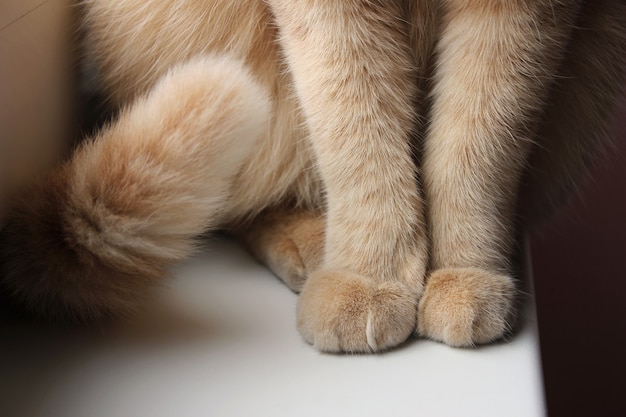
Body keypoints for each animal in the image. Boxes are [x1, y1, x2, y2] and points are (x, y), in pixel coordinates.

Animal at [1, 0, 624, 352]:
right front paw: (368, 274)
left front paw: (467, 271)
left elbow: (477, 137)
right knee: (244, 204)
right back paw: (310, 244)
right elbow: (355, 118)